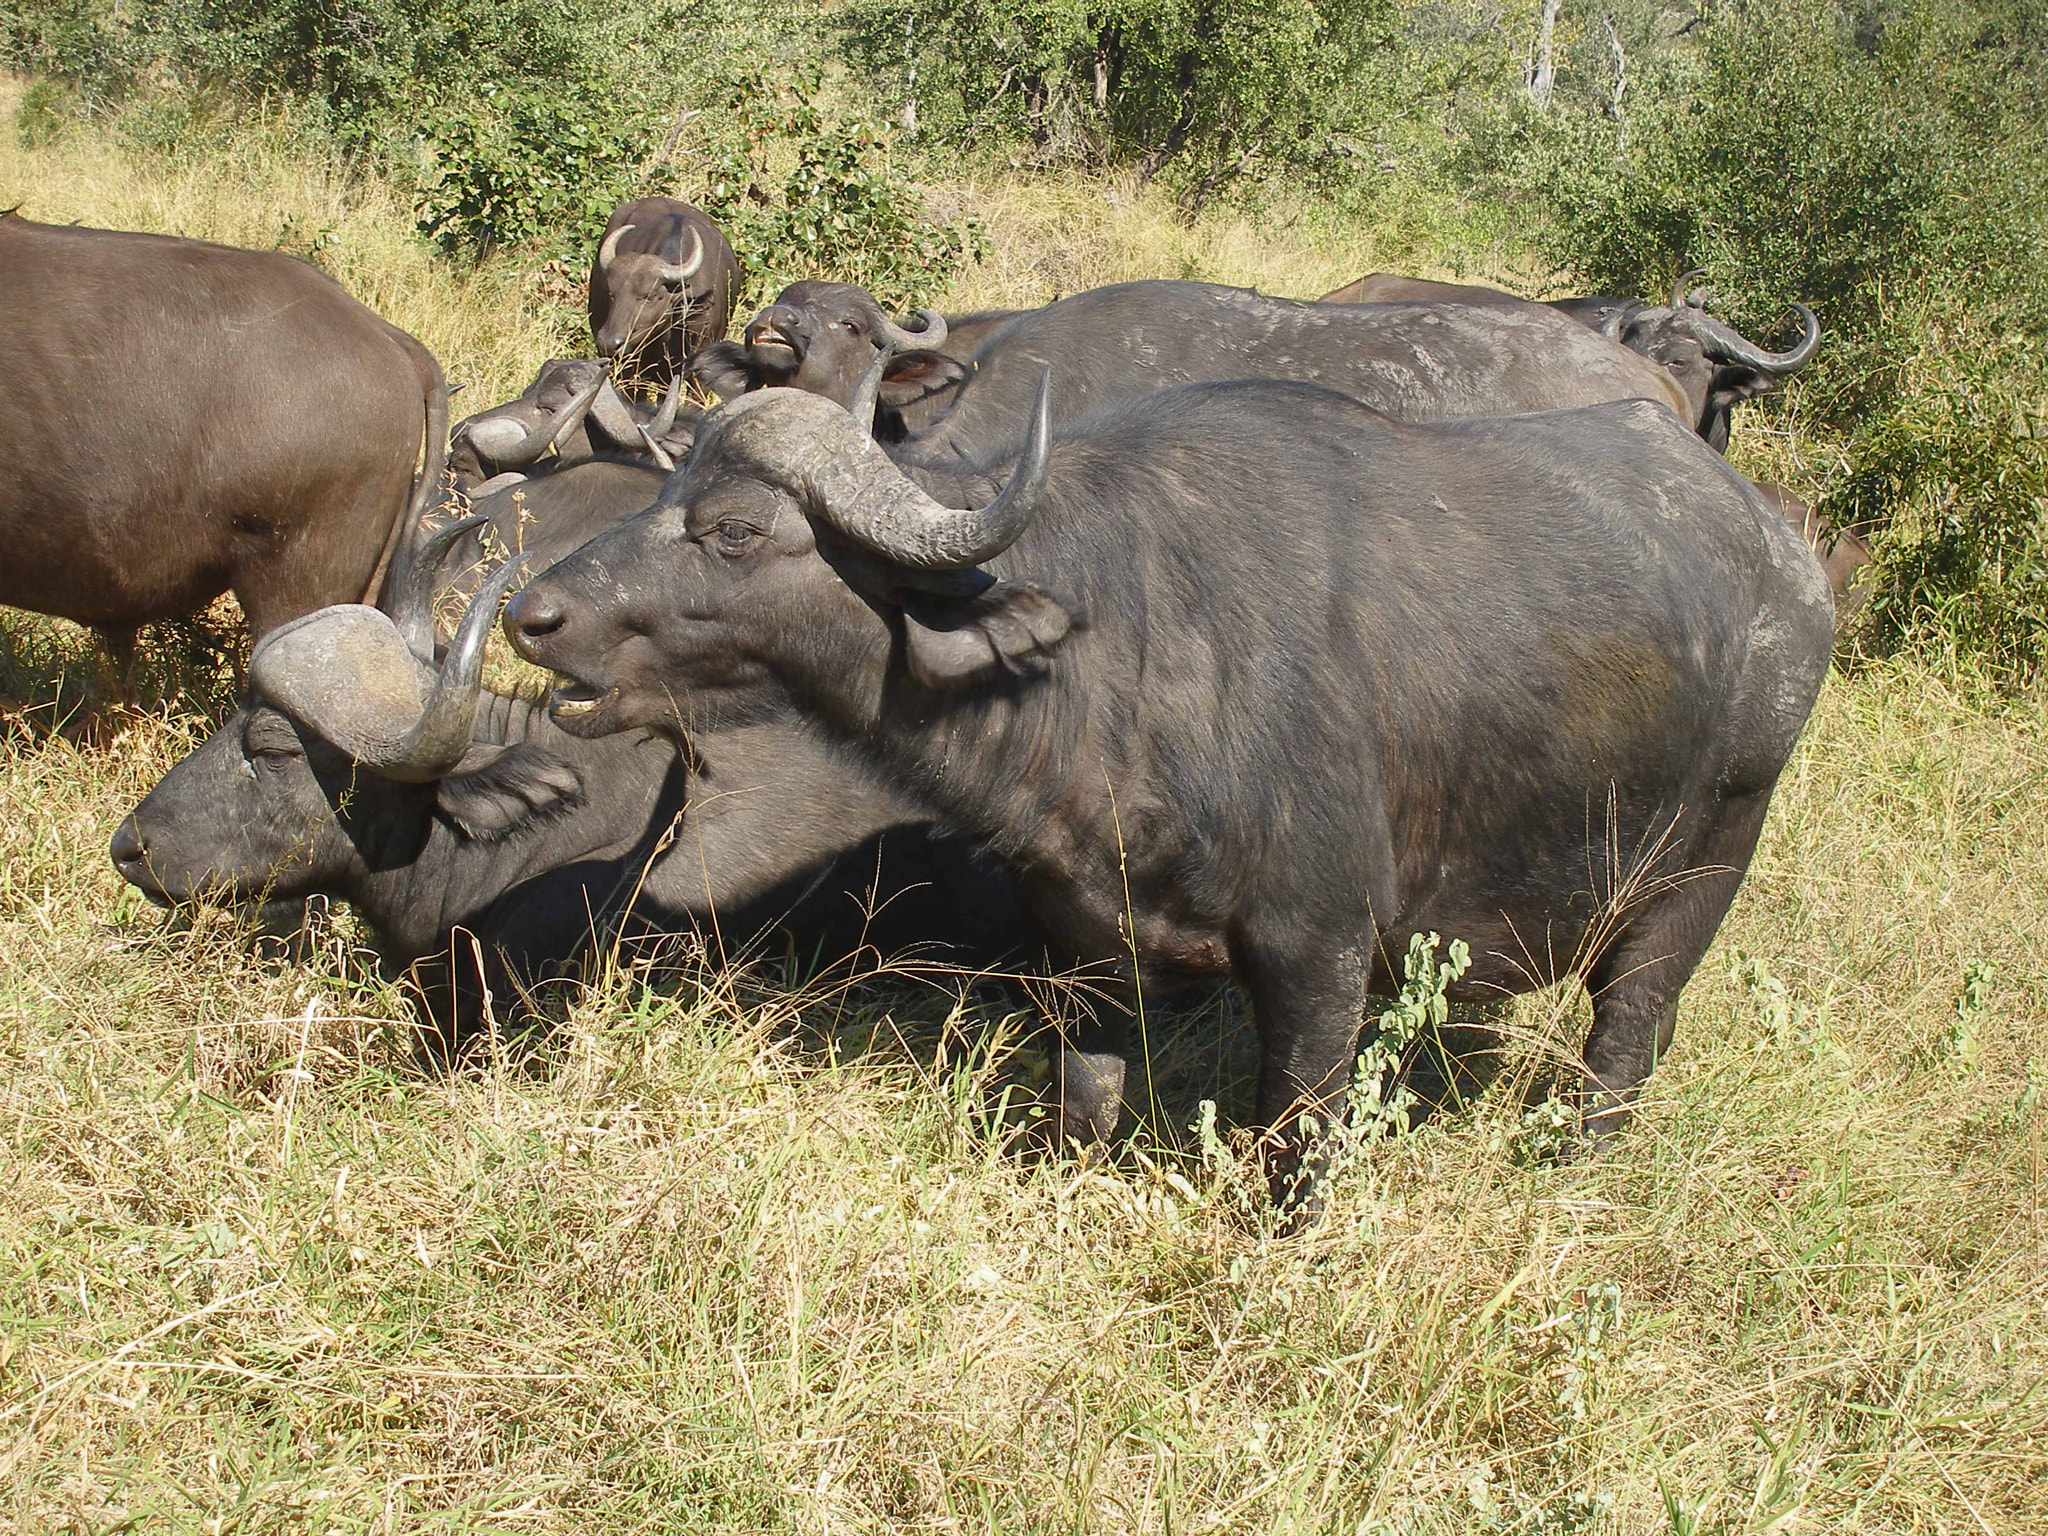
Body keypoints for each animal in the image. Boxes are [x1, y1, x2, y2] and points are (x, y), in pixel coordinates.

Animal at [503, 366, 1835, 1220]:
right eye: (652, 497)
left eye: (733, 530)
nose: (532, 614)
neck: (1127, 654)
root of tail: (1788, 564)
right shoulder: (1085, 951)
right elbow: (1083, 1102)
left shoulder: (1318, 959)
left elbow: (1294, 1150)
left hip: (1702, 868)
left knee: (1627, 1032)